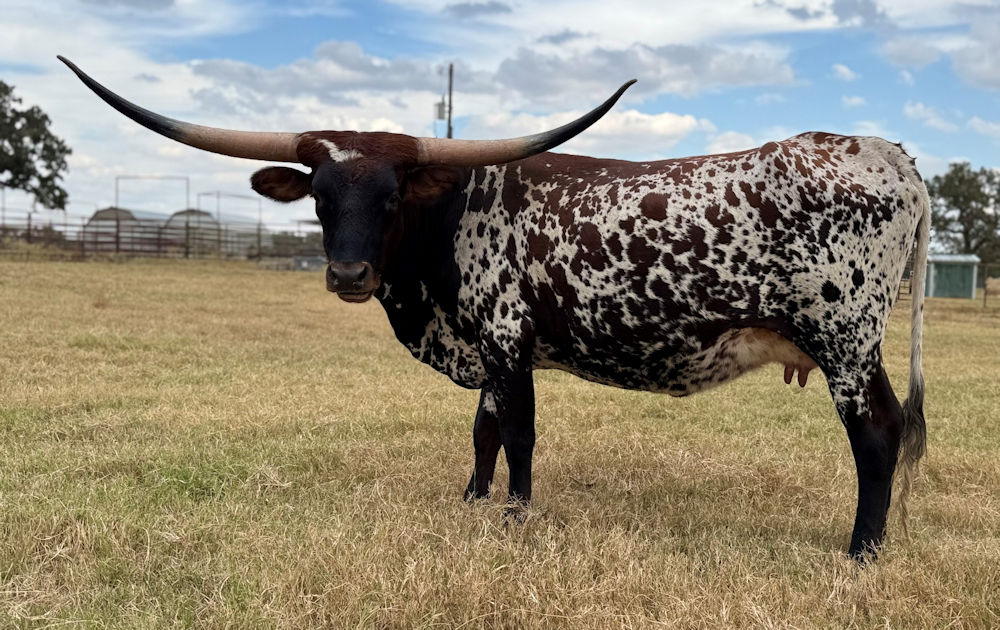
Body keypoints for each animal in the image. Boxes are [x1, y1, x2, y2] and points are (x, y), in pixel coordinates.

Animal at [60, 55, 928, 560]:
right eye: (320, 196)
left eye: (392, 194)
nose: (347, 273)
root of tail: (888, 153)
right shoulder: (481, 344)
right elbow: (480, 432)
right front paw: (472, 502)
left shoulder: (508, 339)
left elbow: (517, 431)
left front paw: (515, 516)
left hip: (846, 340)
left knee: (879, 434)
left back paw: (863, 549)